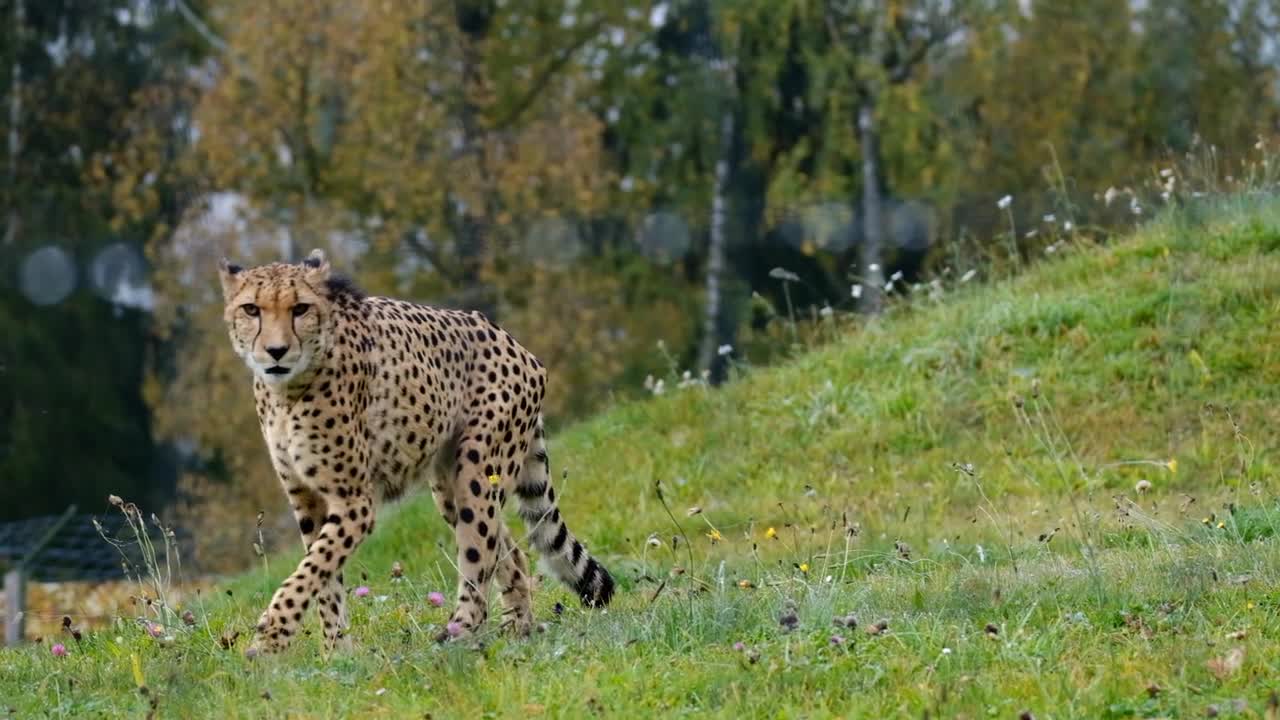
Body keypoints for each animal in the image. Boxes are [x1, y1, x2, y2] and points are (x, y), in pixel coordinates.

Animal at [218, 248, 614, 655]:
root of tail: (511, 340)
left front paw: (271, 637)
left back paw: (458, 632)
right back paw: (519, 629)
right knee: (509, 550)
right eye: (251, 309)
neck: (288, 391)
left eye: (300, 308)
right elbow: (323, 576)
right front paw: (336, 651)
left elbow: (313, 567)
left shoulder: (355, 501)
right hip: (449, 487)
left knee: (481, 552)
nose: (276, 351)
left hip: (476, 470)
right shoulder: (307, 499)